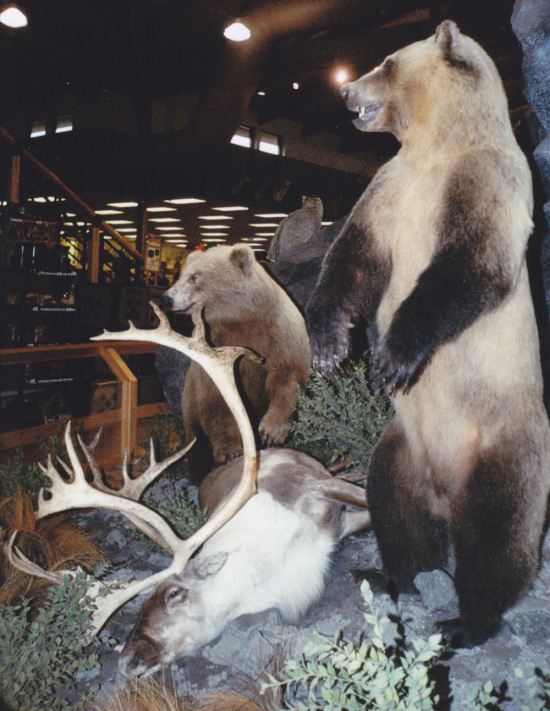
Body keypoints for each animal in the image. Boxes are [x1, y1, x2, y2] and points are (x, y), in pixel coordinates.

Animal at [164, 244, 311, 474]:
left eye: (194, 277)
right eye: (181, 275)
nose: (167, 298)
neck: (241, 319)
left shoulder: (279, 333)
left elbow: (288, 376)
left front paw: (271, 430)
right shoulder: (213, 350)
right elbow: (218, 400)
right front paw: (231, 450)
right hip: (189, 400)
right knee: (195, 439)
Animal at [306, 20, 550, 646]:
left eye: (387, 61)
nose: (346, 93)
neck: (436, 150)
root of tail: (445, 491)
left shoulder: (485, 183)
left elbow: (466, 269)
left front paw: (390, 357)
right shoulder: (390, 190)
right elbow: (353, 261)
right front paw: (330, 348)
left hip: (499, 443)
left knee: (498, 534)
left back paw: (468, 619)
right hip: (401, 448)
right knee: (394, 510)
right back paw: (391, 575)